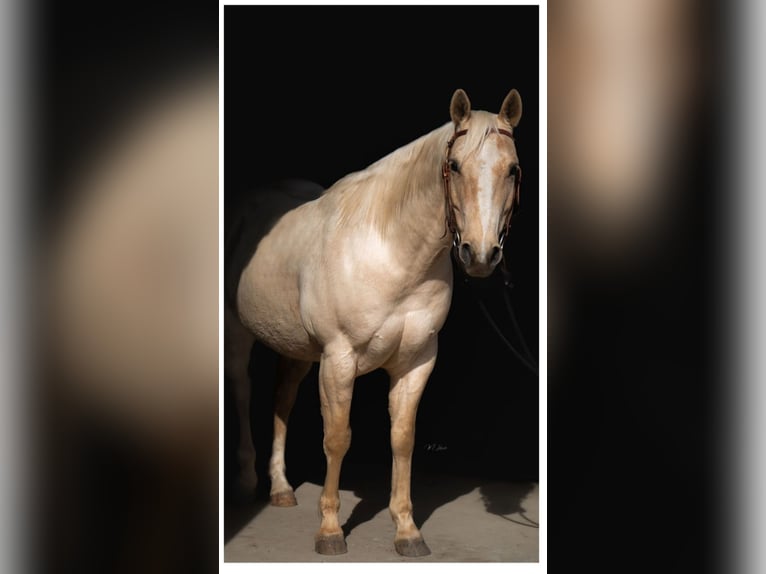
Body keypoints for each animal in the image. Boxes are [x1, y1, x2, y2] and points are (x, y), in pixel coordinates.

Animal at [225, 88, 524, 557]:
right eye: (455, 166)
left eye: (512, 169)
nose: (479, 255)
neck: (391, 250)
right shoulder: (339, 359)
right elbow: (337, 438)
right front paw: (330, 531)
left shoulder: (417, 361)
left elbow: (402, 439)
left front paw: (407, 530)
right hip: (238, 333)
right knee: (241, 392)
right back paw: (244, 484)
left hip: (295, 346)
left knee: (281, 401)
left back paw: (281, 488)